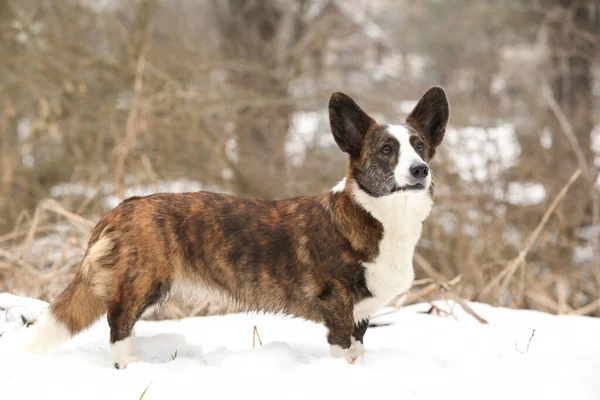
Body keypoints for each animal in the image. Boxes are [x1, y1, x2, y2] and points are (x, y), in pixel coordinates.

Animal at [25, 86, 448, 368]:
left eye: (420, 147)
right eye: (386, 150)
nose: (420, 171)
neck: (381, 216)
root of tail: (119, 209)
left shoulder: (362, 314)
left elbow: (358, 350)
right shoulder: (338, 306)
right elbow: (343, 351)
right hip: (141, 283)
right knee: (118, 324)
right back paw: (131, 367)